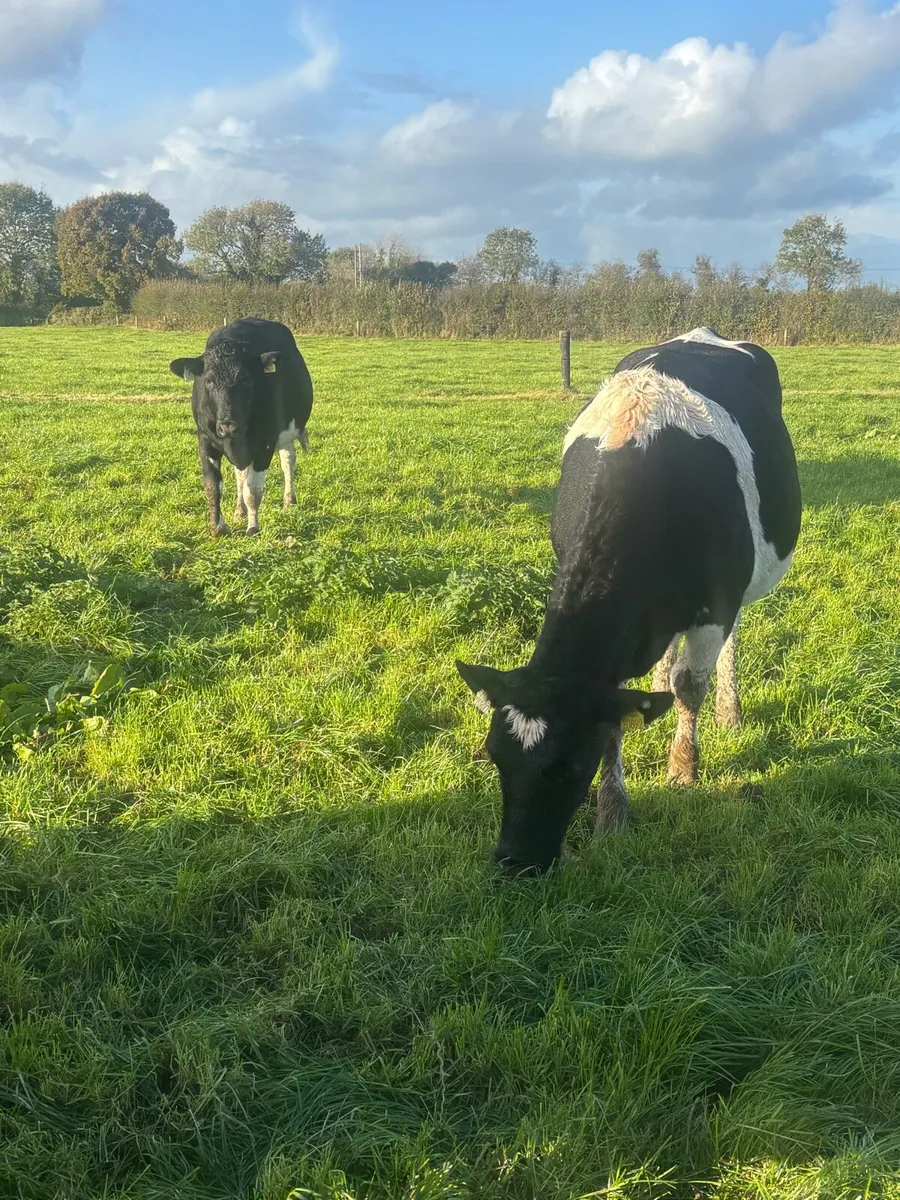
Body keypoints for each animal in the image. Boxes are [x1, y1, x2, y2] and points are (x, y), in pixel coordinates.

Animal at [169, 317, 313, 536]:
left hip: (286, 432)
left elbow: (253, 490)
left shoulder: (265, 444)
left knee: (288, 460)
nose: (228, 425)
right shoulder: (205, 439)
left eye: (246, 379)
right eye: (208, 380)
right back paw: (239, 511)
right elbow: (213, 485)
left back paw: (289, 500)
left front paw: (253, 528)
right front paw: (218, 527)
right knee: (241, 473)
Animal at [456, 327, 801, 876]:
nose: (516, 860)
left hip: (741, 588)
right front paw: (612, 811)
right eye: (495, 756)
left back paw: (729, 710)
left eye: (572, 766)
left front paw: (683, 768)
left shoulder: (716, 603)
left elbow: (690, 688)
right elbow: (621, 716)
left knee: (728, 643)